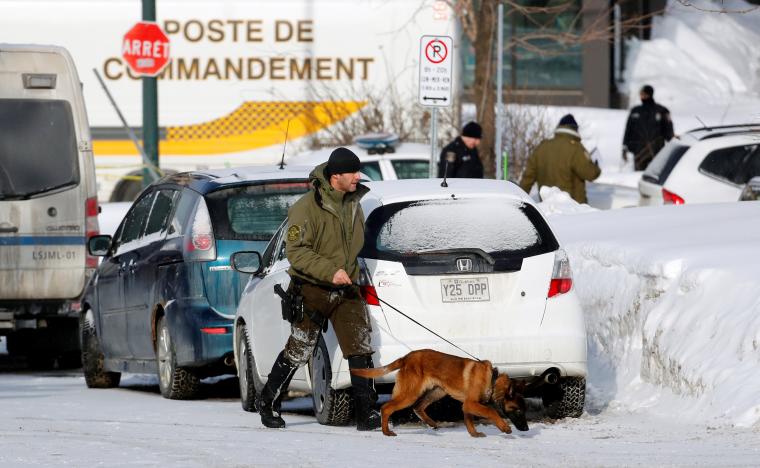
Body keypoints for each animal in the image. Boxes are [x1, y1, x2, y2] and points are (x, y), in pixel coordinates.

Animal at [350, 350, 528, 436]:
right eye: (518, 411)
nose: (526, 429)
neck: (492, 379)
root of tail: (406, 358)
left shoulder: (467, 405)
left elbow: (469, 420)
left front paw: (474, 434)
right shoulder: (471, 403)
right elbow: (491, 411)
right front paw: (504, 427)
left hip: (437, 391)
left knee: (418, 407)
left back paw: (433, 423)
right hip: (411, 394)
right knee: (386, 408)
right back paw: (386, 432)